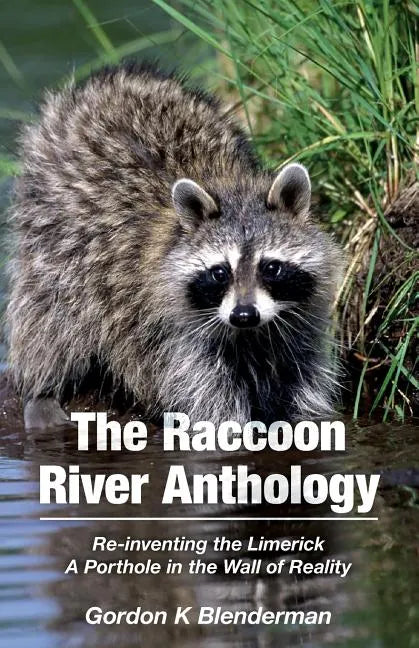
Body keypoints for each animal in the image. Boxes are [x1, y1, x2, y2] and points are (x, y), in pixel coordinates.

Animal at [6, 63, 342, 428]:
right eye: (220, 272)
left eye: (271, 267)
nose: (243, 315)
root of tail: (102, 82)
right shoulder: (171, 334)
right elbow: (205, 399)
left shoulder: (298, 322)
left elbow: (300, 374)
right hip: (51, 237)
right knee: (49, 318)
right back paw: (42, 387)